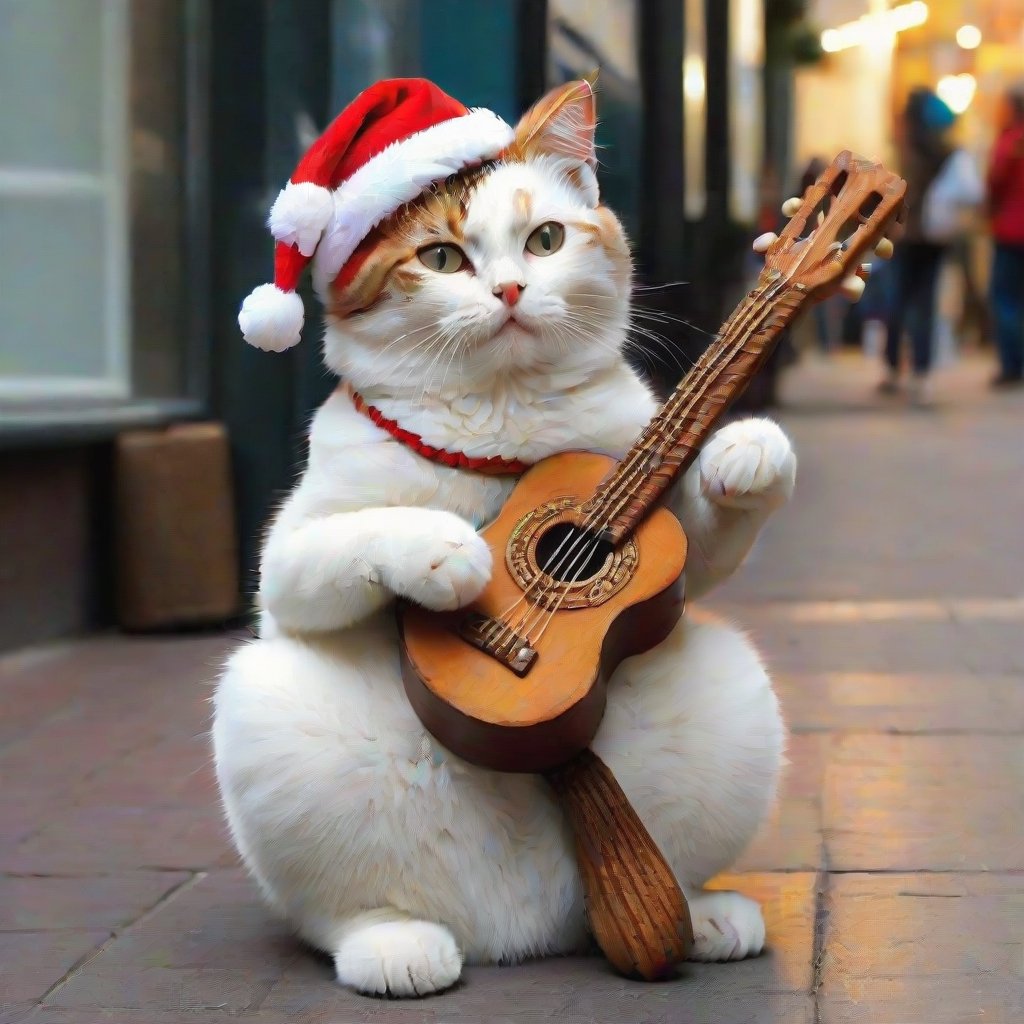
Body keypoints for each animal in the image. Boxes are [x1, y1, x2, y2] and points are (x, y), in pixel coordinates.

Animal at [216, 81, 802, 999]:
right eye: (443, 258)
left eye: (546, 240)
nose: (513, 291)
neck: (505, 419)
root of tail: (517, 931)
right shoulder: (291, 560)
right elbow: (348, 541)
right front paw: (448, 551)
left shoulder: (659, 526)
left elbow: (705, 540)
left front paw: (747, 449)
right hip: (264, 706)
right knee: (337, 915)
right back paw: (395, 945)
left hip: (734, 691)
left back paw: (702, 911)